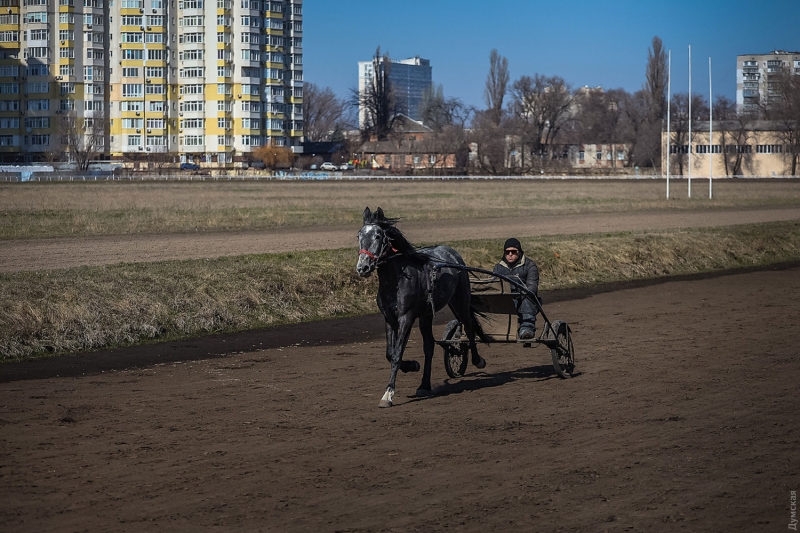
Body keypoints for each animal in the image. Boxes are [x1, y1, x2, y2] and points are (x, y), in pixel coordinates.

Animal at [358, 207, 488, 408]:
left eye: (378, 236)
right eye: (359, 235)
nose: (362, 267)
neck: (395, 280)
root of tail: (452, 253)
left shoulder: (406, 317)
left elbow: (396, 355)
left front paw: (388, 394)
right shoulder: (389, 318)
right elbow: (390, 353)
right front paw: (412, 365)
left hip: (460, 302)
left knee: (468, 326)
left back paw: (477, 359)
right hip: (426, 316)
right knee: (429, 345)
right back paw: (424, 385)